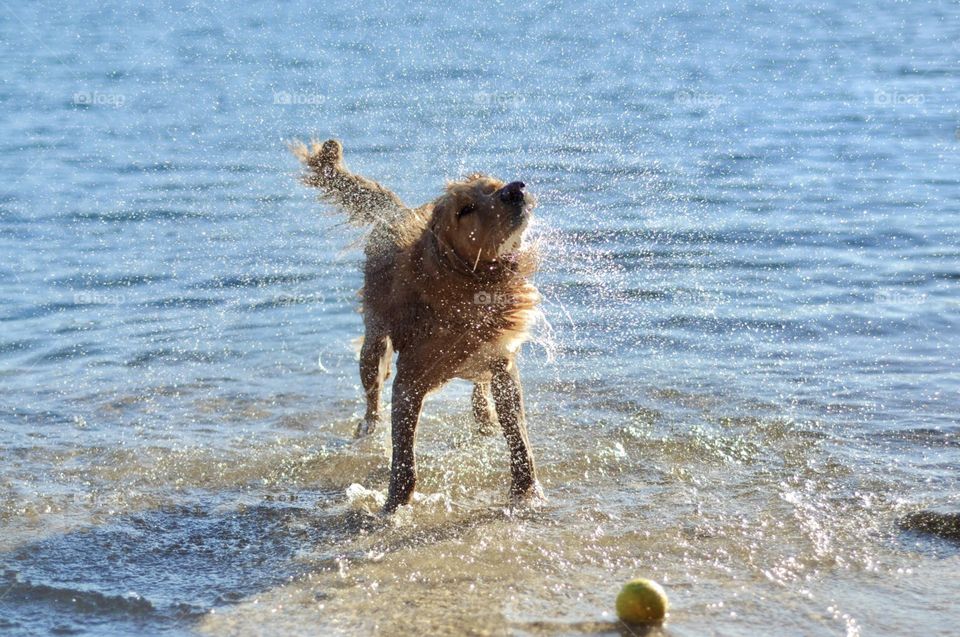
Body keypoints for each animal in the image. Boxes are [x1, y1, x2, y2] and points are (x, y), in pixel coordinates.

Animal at [288, 139, 544, 512]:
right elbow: (404, 456)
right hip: (374, 346)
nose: (515, 189)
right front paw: (394, 505)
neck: (465, 283)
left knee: (480, 390)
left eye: (495, 186)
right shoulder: (408, 383)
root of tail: (398, 212)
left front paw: (527, 491)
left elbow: (519, 438)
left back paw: (484, 418)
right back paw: (368, 428)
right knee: (372, 396)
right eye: (465, 209)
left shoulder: (502, 361)